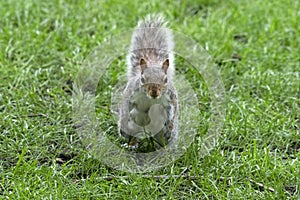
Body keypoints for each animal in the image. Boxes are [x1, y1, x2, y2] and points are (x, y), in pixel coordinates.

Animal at [118, 14, 178, 148]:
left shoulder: (170, 99)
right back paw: (132, 144)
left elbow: (173, 111)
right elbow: (125, 106)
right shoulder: (131, 94)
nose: (154, 92)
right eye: (142, 79)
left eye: (165, 79)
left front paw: (170, 126)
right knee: (133, 133)